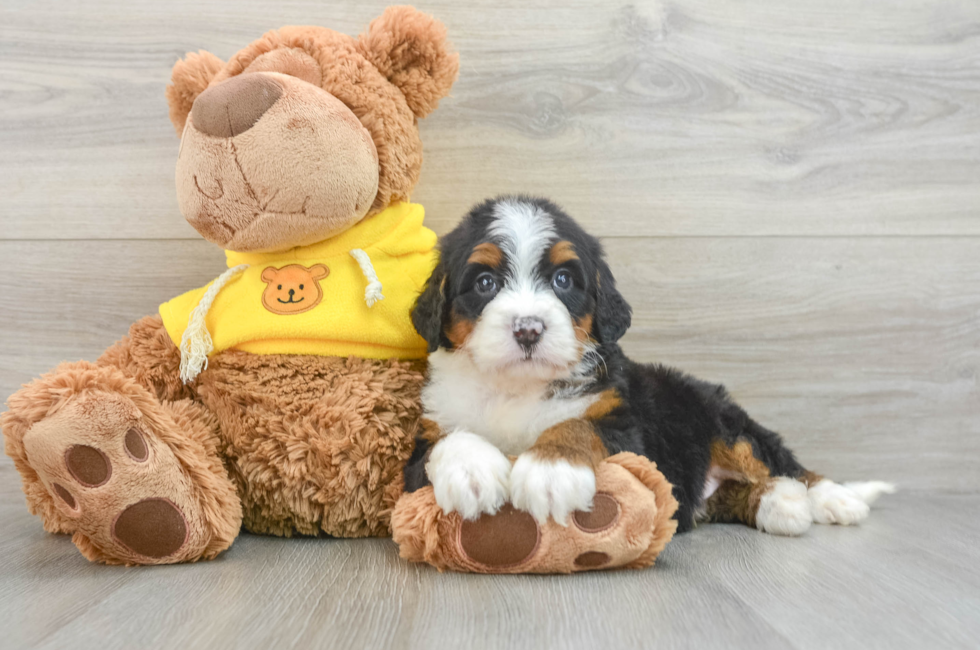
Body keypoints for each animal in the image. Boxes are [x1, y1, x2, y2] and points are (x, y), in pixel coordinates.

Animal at [402, 195, 892, 536]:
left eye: (563, 280)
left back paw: (833, 500)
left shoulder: (627, 429)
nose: (528, 329)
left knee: (783, 462)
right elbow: (446, 441)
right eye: (485, 282)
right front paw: (473, 473)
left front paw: (550, 470)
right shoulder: (419, 453)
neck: (517, 388)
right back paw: (782, 507)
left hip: (724, 422)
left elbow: (578, 425)